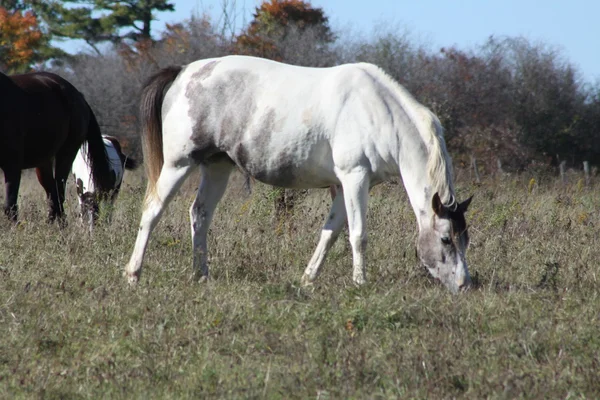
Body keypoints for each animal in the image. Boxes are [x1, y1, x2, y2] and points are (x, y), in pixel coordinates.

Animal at [0, 71, 113, 222]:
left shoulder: (12, 165)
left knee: (58, 195)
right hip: (43, 162)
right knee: (52, 194)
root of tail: (78, 95)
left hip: (66, 154)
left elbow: (10, 205)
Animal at [125, 55, 474, 294]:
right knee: (153, 212)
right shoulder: (354, 178)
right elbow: (358, 234)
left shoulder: (343, 186)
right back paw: (133, 273)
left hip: (217, 167)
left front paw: (307, 280)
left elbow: (330, 233)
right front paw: (360, 282)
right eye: (445, 238)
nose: (464, 285)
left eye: (465, 238)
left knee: (200, 214)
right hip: (178, 164)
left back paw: (201, 274)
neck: (378, 112)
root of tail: (184, 72)